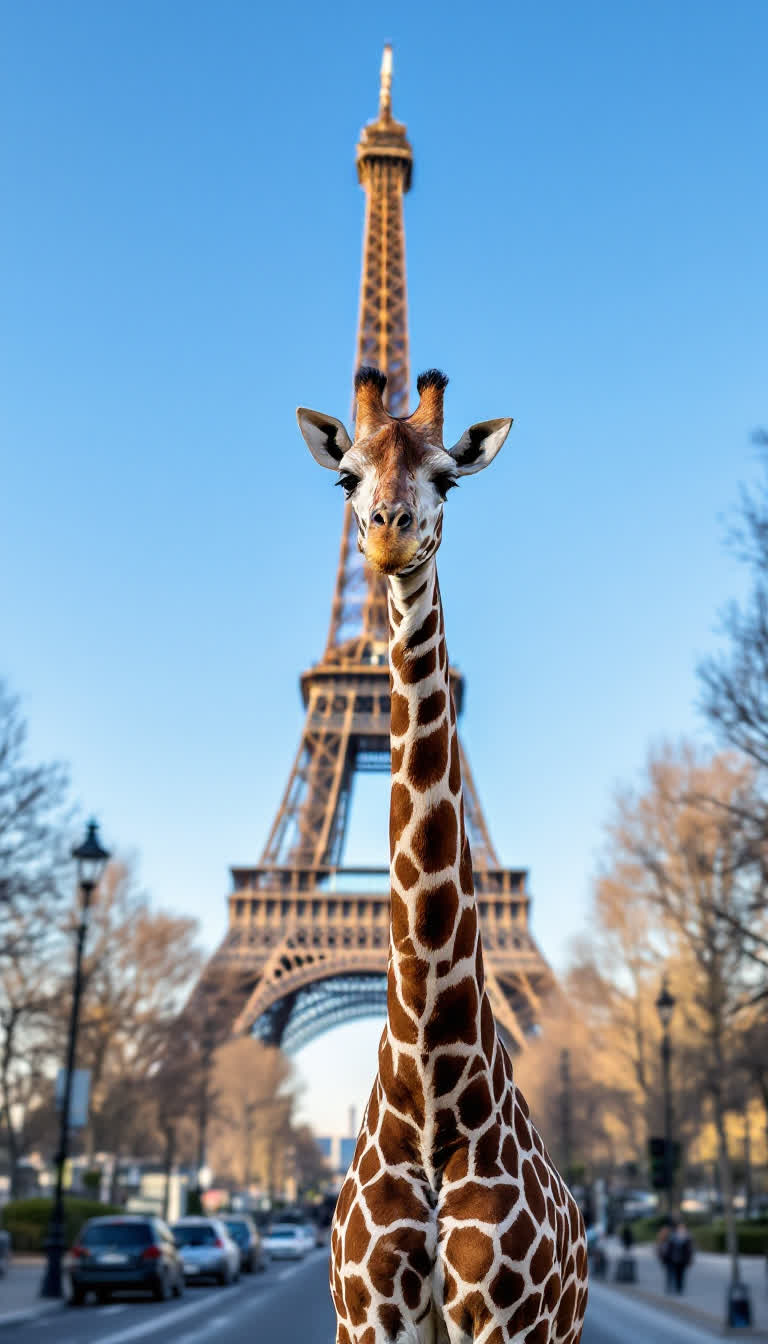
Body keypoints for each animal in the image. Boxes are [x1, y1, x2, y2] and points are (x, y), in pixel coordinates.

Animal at [297, 367, 588, 1344]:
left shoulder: (503, 1322)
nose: (391, 529)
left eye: (448, 479)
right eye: (346, 476)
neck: (430, 1102)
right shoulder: (366, 1318)